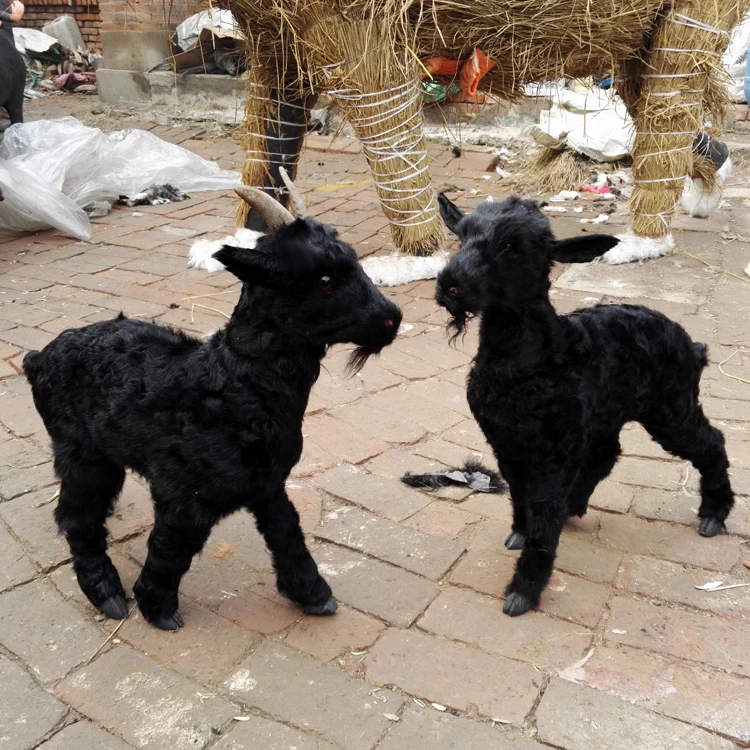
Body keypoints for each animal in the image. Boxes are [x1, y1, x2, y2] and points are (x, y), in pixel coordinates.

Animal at [24, 174, 402, 630]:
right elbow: (171, 549)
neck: (235, 384)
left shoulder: (267, 486)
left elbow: (288, 535)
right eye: (324, 279)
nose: (392, 318)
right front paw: (157, 608)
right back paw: (107, 593)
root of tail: (38, 358)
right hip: (82, 455)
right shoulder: (185, 500)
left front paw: (314, 595)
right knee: (77, 519)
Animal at [404, 193, 735, 618]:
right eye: (461, 236)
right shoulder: (507, 443)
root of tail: (692, 345)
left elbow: (543, 511)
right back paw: (577, 503)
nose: (450, 285)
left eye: (513, 246)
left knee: (711, 442)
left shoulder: (553, 453)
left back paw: (713, 514)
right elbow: (521, 495)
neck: (534, 359)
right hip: (609, 415)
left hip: (671, 407)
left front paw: (524, 590)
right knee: (607, 454)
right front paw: (520, 532)